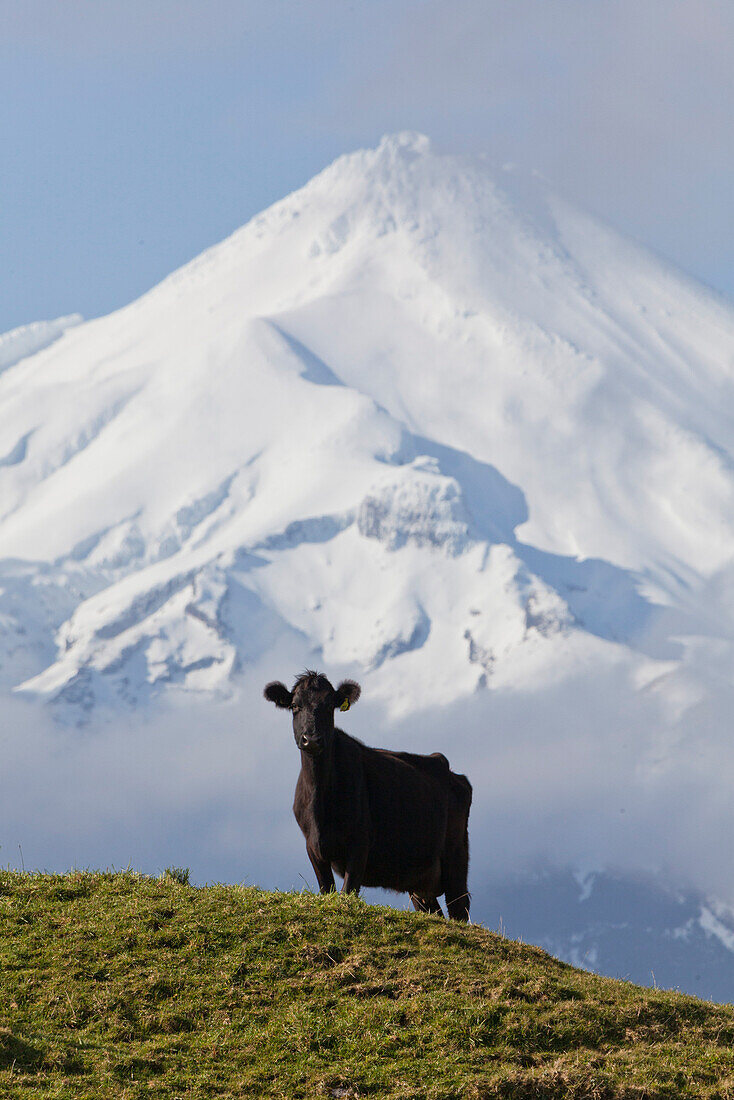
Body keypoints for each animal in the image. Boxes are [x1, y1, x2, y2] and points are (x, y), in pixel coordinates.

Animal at [264, 668, 470, 919]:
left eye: (329, 706)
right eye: (295, 705)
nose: (311, 739)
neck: (321, 803)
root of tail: (444, 765)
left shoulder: (360, 842)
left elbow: (348, 891)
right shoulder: (312, 846)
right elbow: (327, 889)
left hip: (455, 858)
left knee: (459, 908)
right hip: (420, 880)